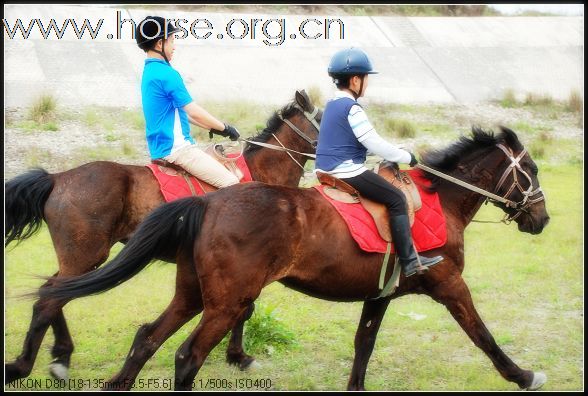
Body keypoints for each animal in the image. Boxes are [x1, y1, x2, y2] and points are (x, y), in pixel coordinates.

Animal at [3, 89, 322, 384]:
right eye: (323, 118)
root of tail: (57, 178)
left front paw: (236, 355)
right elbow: (244, 310)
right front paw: (239, 356)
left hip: (80, 260)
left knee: (51, 291)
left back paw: (60, 357)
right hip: (86, 256)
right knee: (48, 301)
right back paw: (25, 365)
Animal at [39, 127, 548, 390]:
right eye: (531, 170)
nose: (541, 219)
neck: (438, 203)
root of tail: (208, 201)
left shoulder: (379, 295)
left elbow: (364, 344)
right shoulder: (449, 286)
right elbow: (482, 335)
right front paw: (522, 374)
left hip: (194, 293)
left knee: (146, 335)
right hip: (222, 300)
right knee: (186, 354)